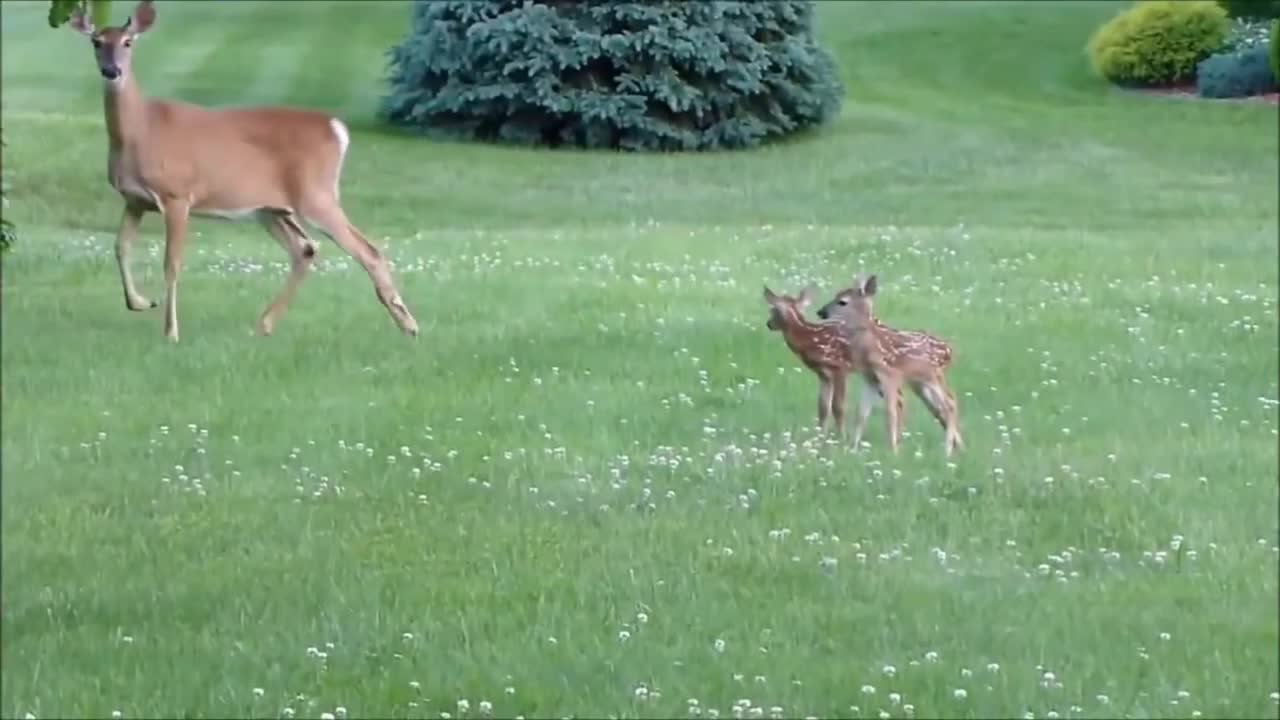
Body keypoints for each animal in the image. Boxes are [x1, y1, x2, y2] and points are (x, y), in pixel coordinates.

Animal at [68, 0, 419, 340]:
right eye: (96, 41)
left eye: (128, 42)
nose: (111, 70)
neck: (141, 130)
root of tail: (337, 128)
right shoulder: (135, 199)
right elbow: (120, 247)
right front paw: (140, 302)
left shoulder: (177, 194)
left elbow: (172, 263)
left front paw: (171, 332)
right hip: (271, 208)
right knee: (305, 249)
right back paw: (264, 325)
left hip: (315, 194)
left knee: (368, 250)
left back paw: (409, 325)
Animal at [762, 285, 906, 438]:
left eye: (773, 310)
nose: (769, 324)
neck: (811, 338)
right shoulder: (823, 374)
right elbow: (823, 407)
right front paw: (820, 435)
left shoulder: (840, 367)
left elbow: (838, 406)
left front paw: (840, 436)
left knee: (899, 398)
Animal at [819, 274, 962, 453]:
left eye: (842, 301)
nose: (821, 312)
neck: (868, 346)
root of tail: (950, 351)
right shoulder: (870, 378)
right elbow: (861, 413)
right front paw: (853, 448)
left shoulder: (889, 374)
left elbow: (890, 412)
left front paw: (893, 450)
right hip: (920, 382)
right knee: (943, 405)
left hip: (933, 376)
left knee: (950, 403)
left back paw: (947, 450)